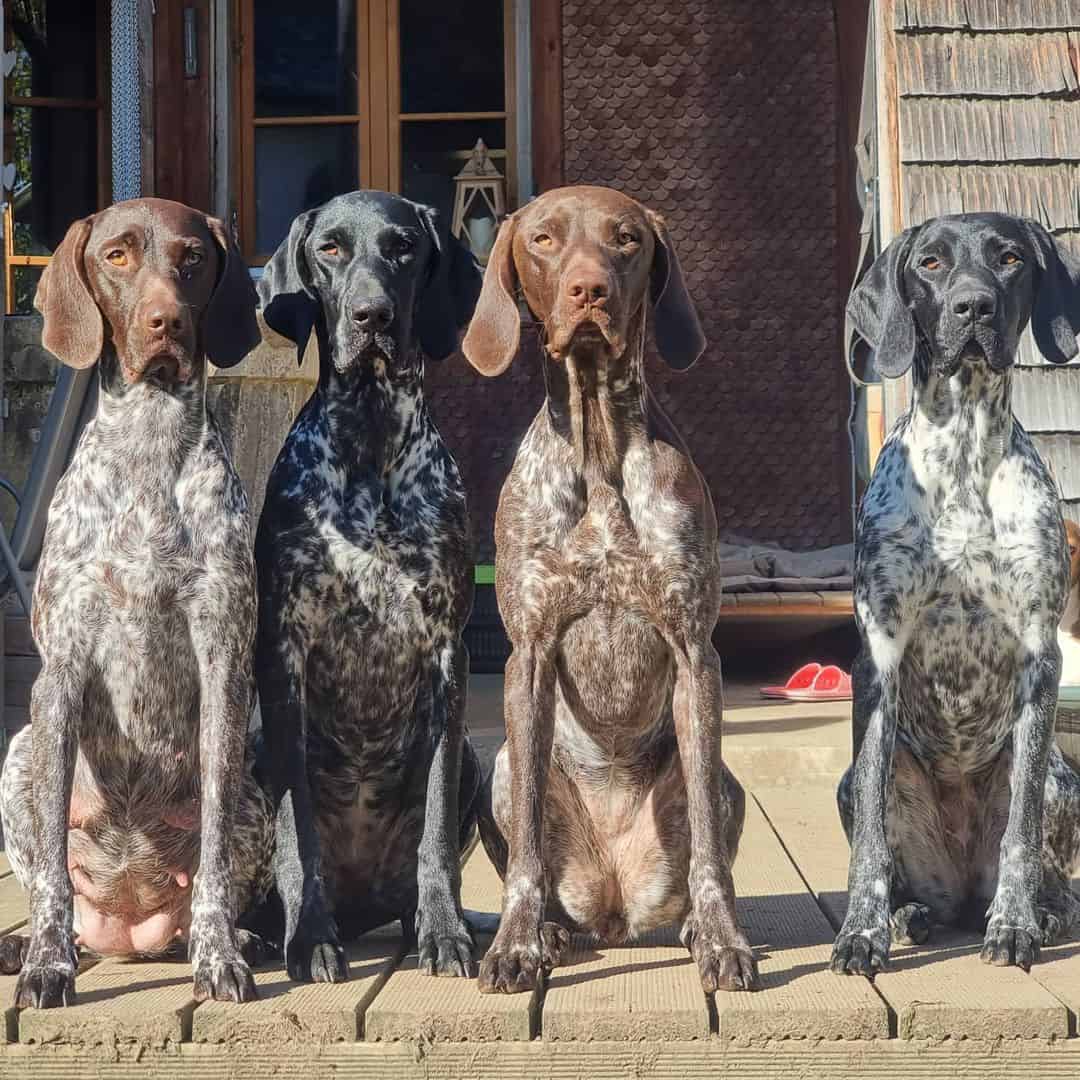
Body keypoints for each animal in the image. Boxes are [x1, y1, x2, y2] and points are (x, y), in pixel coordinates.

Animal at [0, 198, 274, 1006]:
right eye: (117, 256)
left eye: (193, 258)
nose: (166, 323)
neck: (149, 449)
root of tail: (127, 924)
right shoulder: (58, 676)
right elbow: (51, 881)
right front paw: (48, 963)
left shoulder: (224, 668)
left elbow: (214, 870)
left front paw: (220, 956)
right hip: (20, 754)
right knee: (46, 879)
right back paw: (37, 946)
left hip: (255, 791)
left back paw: (228, 939)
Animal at [252, 190, 481, 984]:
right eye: (329, 249)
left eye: (403, 246)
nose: (372, 315)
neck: (372, 438)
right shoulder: (283, 660)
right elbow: (298, 834)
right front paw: (309, 937)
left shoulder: (447, 657)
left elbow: (435, 831)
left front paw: (444, 931)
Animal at [464, 185, 760, 993]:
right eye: (543, 239)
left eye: (626, 239)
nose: (588, 290)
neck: (597, 443)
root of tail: (615, 907)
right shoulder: (528, 655)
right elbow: (526, 859)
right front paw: (516, 944)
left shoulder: (695, 652)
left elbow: (710, 859)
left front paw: (722, 939)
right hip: (500, 769)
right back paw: (552, 931)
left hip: (727, 782)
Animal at [838, 212, 1080, 980]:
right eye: (933, 263)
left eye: (1009, 259)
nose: (973, 307)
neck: (966, 451)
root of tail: (961, 890)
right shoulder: (877, 658)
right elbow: (871, 844)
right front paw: (862, 931)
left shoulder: (1040, 658)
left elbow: (1021, 832)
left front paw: (1016, 925)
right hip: (851, 782)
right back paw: (908, 914)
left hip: (1063, 777)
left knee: (1049, 869)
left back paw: (1041, 912)